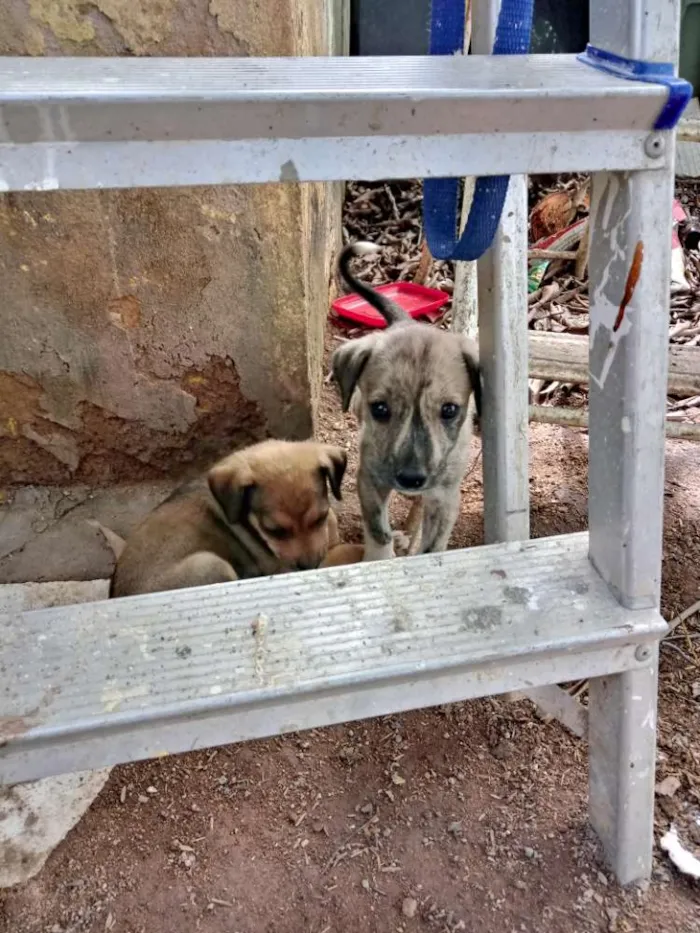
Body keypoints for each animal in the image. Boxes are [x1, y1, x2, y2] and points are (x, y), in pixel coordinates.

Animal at [109, 436, 364, 596]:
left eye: (319, 518)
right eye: (275, 531)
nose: (309, 566)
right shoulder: (284, 567)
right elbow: (343, 553)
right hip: (210, 564)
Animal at [332, 242, 482, 560]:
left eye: (449, 410)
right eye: (380, 409)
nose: (411, 479)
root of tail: (405, 322)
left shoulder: (446, 499)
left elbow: (433, 544)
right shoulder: (370, 479)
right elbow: (379, 530)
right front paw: (380, 557)